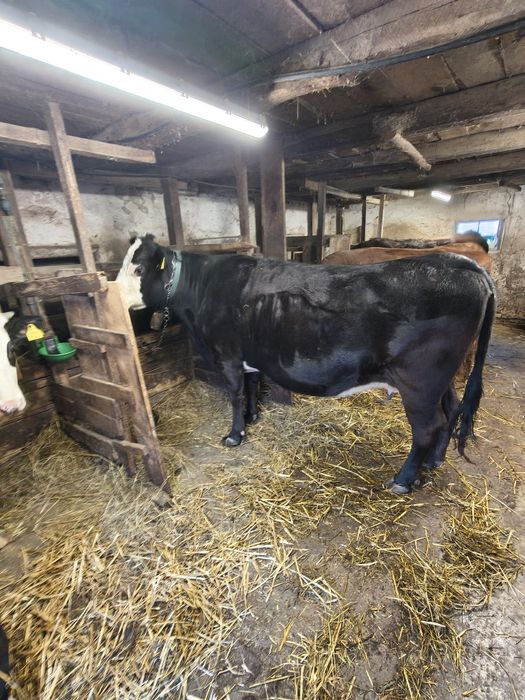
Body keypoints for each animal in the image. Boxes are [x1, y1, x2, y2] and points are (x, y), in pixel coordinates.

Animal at [120, 235, 495, 494]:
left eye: (138, 268)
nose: (114, 293)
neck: (203, 288)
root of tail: (459, 262)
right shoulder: (246, 355)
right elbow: (252, 384)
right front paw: (253, 417)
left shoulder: (226, 354)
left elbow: (235, 395)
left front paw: (235, 435)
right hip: (441, 377)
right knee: (452, 409)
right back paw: (434, 461)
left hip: (419, 381)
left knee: (428, 427)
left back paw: (403, 479)